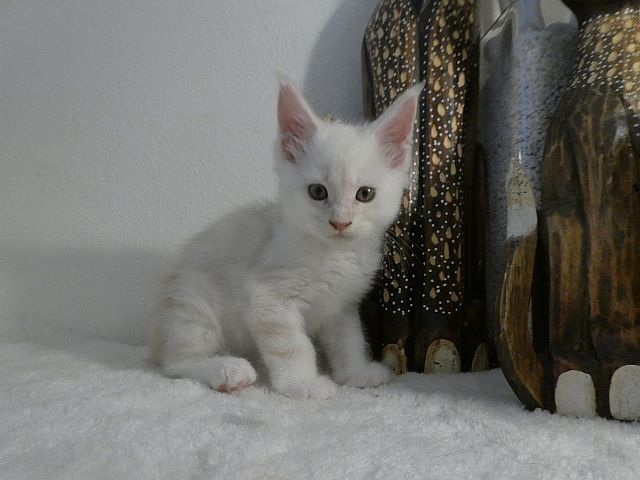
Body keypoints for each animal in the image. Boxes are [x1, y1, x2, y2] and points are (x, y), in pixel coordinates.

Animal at [150, 80, 422, 399]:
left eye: (365, 194)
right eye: (317, 191)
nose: (340, 222)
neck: (335, 254)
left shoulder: (341, 304)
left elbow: (348, 339)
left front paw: (356, 373)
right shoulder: (268, 298)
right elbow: (292, 346)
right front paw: (303, 384)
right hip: (193, 306)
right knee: (176, 362)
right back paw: (228, 369)